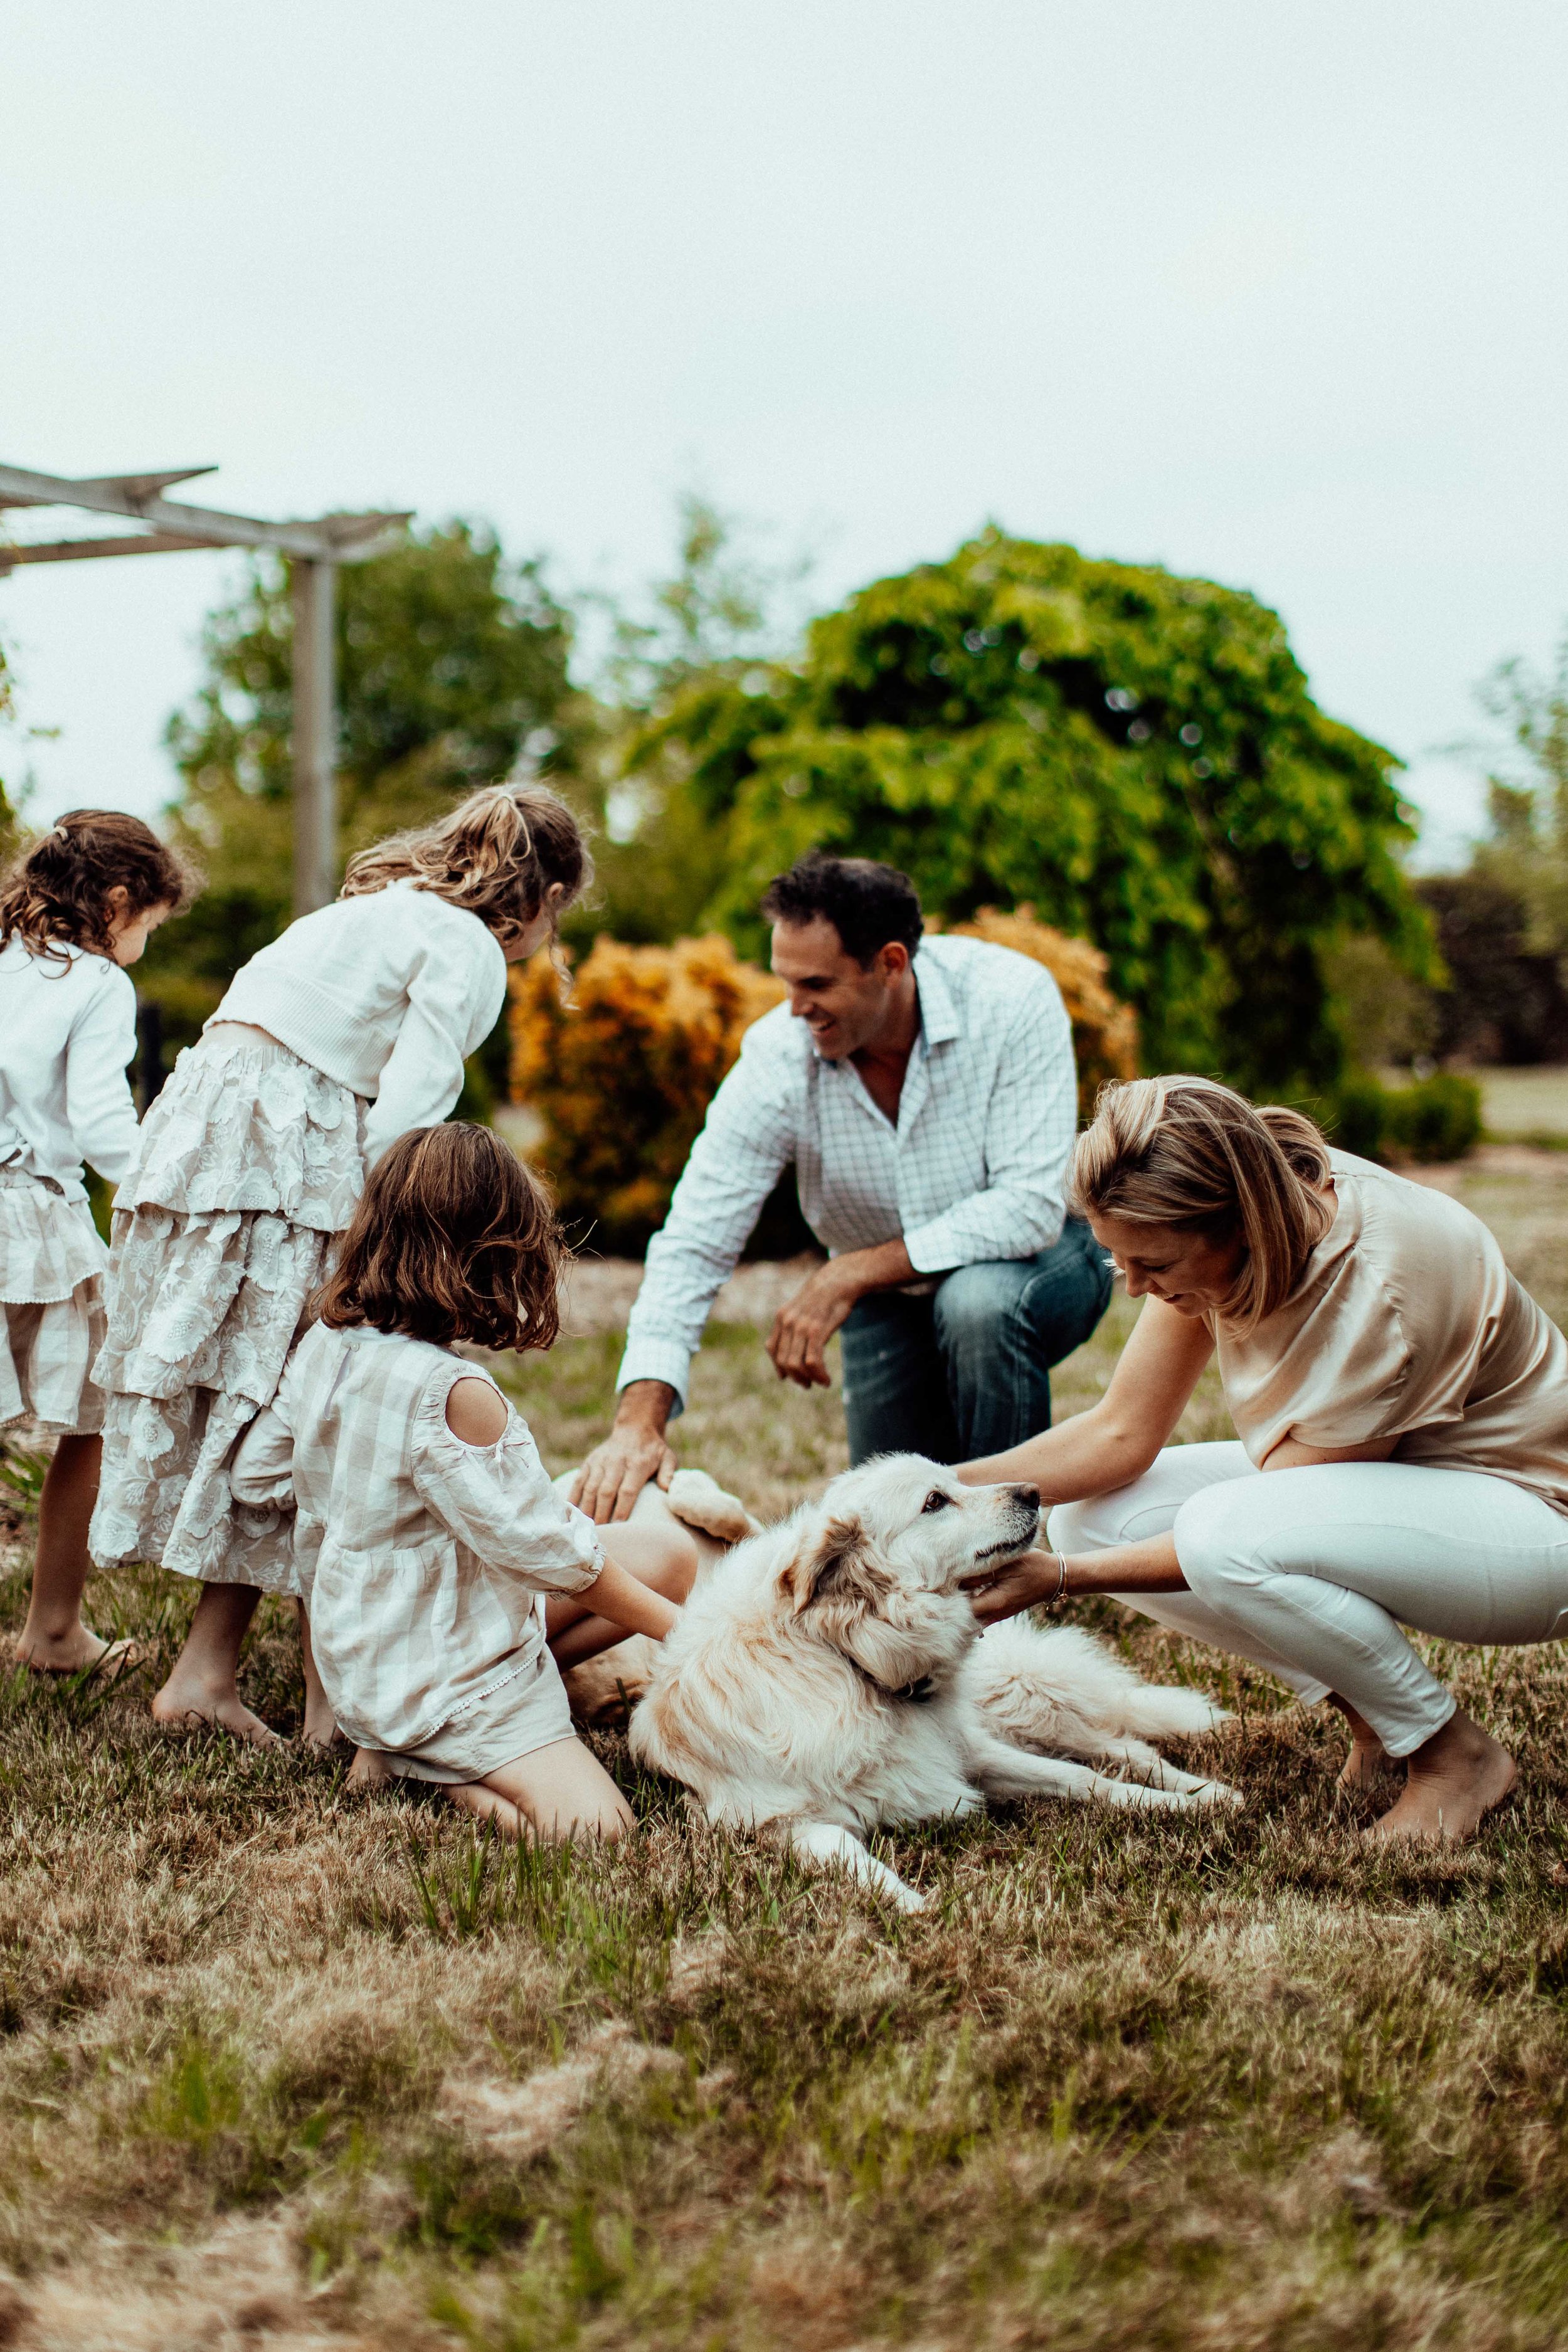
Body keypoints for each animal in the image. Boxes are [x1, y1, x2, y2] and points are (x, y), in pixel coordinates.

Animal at [620, 1449, 1241, 1910]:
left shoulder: (969, 1751)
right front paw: (922, 1913)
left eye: (955, 1481)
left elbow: (1082, 1779)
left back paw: (1207, 1791)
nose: (1033, 1492)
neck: (846, 1661)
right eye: (935, 1502)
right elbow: (856, 1862)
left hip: (1017, 1693)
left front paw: (1176, 1806)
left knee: (1120, 1743)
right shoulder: (779, 1822)